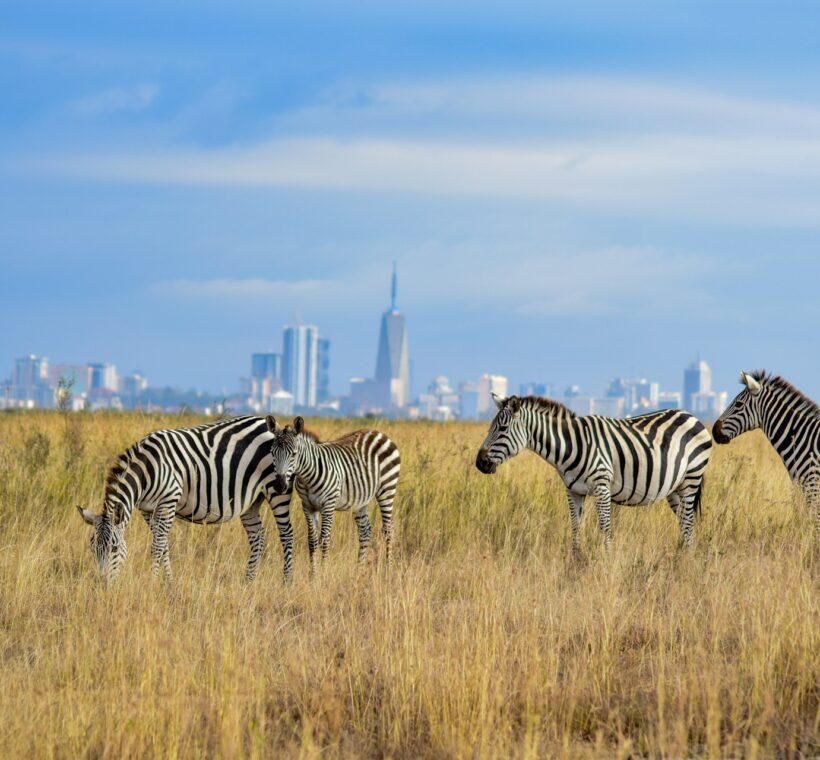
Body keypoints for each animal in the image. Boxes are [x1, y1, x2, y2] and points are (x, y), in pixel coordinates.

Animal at [77, 415, 294, 582]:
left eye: (114, 548)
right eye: (92, 548)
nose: (102, 583)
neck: (147, 470)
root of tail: (265, 423)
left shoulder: (168, 501)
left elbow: (157, 546)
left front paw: (152, 582)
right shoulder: (147, 509)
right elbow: (163, 546)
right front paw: (169, 582)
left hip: (277, 490)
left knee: (286, 534)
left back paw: (287, 582)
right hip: (251, 501)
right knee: (258, 536)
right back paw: (248, 581)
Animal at [265, 415, 400, 570]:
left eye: (294, 454)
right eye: (272, 453)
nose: (279, 486)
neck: (307, 477)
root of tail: (378, 433)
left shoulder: (328, 505)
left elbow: (324, 540)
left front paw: (323, 572)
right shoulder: (308, 506)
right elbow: (312, 541)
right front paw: (313, 573)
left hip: (387, 489)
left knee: (389, 530)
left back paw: (389, 568)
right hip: (360, 499)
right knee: (365, 531)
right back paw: (359, 570)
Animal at [475, 394, 713, 548]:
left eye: (502, 429)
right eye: (490, 427)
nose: (479, 463)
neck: (570, 445)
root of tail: (691, 415)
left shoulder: (602, 487)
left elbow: (605, 530)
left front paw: (606, 565)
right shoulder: (573, 491)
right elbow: (575, 529)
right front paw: (575, 565)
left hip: (691, 478)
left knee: (688, 524)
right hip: (675, 488)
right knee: (684, 524)